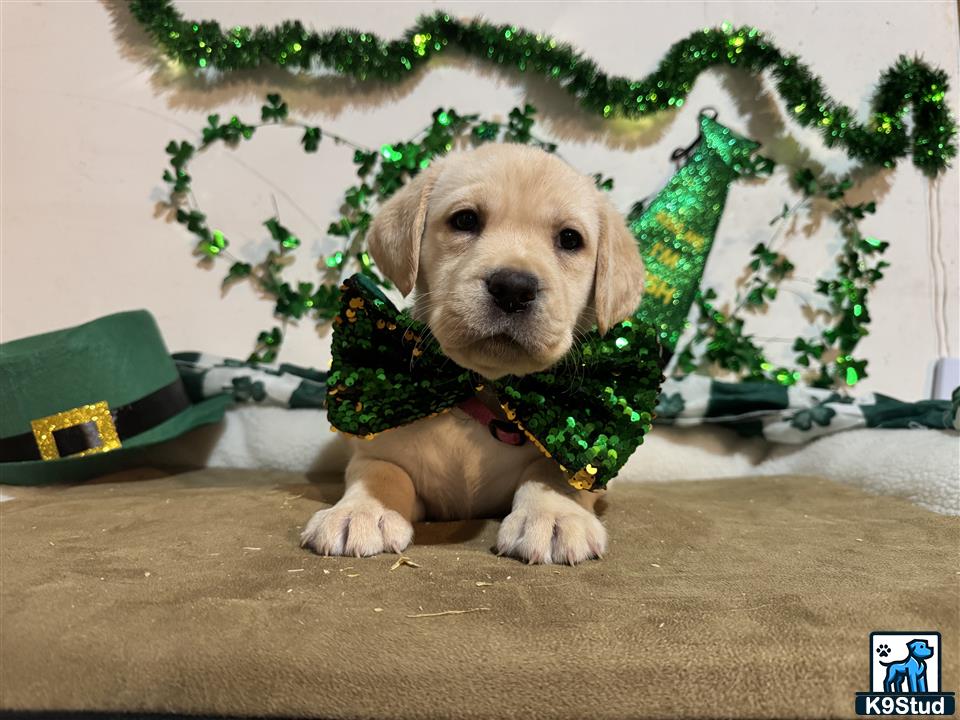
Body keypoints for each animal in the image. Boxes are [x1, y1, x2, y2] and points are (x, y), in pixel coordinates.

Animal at [302, 143, 644, 564]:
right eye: (465, 220)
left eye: (569, 239)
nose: (513, 287)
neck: (483, 389)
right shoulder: (377, 452)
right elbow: (380, 473)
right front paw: (361, 511)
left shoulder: (582, 465)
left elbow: (552, 473)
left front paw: (554, 516)